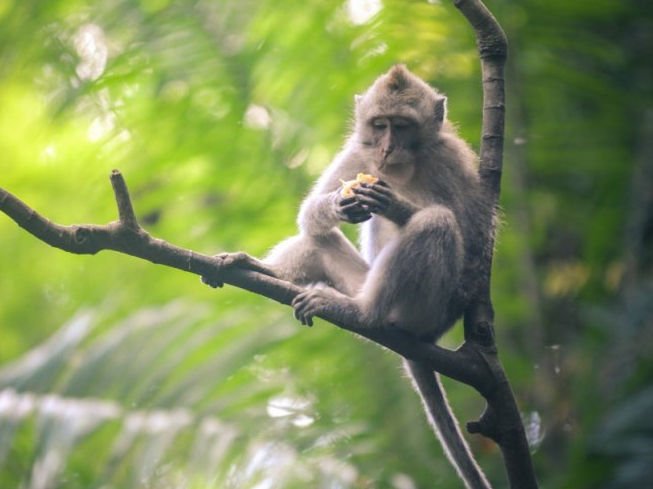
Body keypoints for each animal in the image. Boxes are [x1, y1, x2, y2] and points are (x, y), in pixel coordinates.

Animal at [201, 65, 492, 488]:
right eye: (380, 125)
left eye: (402, 126)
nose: (386, 149)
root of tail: (428, 338)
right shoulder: (358, 153)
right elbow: (309, 215)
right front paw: (339, 203)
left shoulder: (449, 159)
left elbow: (471, 242)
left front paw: (396, 204)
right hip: (362, 281)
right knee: (319, 238)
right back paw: (261, 269)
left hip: (426, 310)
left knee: (437, 222)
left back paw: (363, 314)